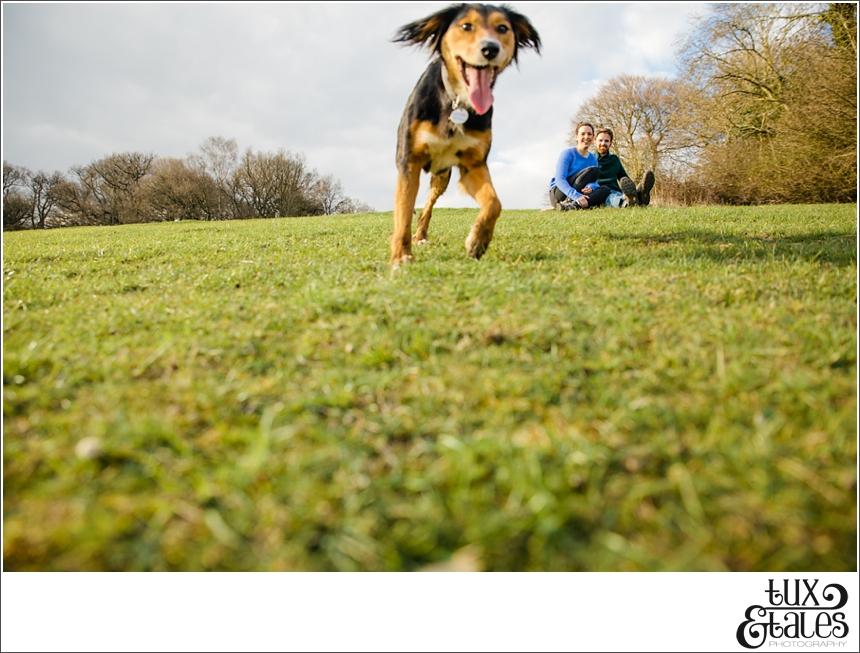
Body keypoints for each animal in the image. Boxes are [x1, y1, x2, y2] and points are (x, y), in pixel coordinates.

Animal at [392, 4, 540, 264]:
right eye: (466, 26)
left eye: (503, 28)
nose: (490, 48)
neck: (457, 101)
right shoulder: (408, 161)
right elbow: (403, 214)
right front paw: (401, 256)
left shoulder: (473, 165)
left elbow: (494, 203)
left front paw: (478, 241)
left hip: (442, 176)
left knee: (428, 207)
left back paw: (422, 234)